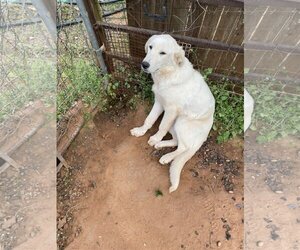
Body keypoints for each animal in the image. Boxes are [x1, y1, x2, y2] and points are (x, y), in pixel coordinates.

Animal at [130, 34, 214, 192]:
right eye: (150, 47)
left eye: (163, 53)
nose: (144, 64)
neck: (167, 74)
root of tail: (204, 137)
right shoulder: (159, 102)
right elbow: (149, 120)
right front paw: (140, 131)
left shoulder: (170, 109)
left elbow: (161, 127)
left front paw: (155, 138)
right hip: (174, 124)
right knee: (176, 141)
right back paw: (161, 145)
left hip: (181, 121)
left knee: (183, 147)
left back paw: (167, 157)